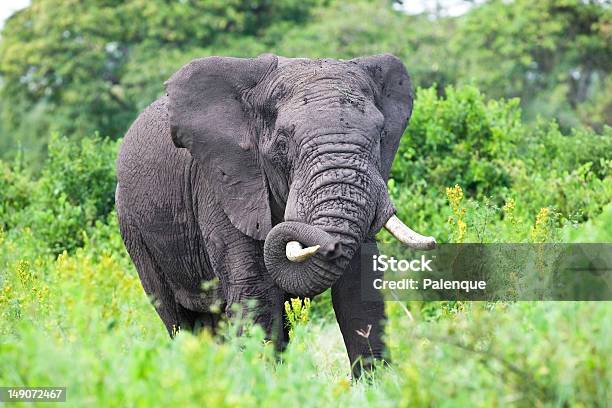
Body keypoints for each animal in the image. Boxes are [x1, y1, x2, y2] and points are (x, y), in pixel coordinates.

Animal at [115, 53, 438, 376]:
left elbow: (358, 289)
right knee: (178, 319)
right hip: (133, 227)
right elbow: (255, 293)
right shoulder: (223, 183)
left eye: (380, 137)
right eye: (283, 144)